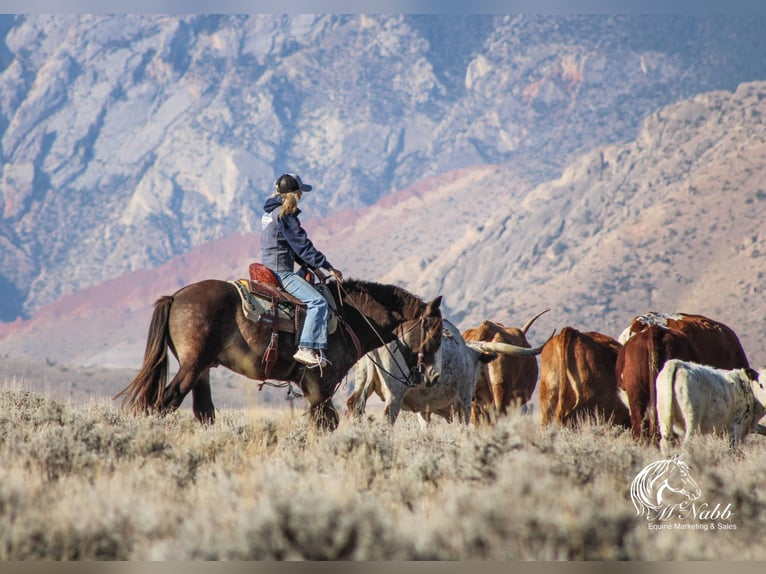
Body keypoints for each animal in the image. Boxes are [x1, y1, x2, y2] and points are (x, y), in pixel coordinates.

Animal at [117, 276, 448, 430]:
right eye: (433, 333)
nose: (433, 377)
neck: (348, 317)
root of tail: (175, 297)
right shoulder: (320, 385)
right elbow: (324, 422)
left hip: (202, 370)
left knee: (204, 411)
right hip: (191, 366)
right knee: (166, 401)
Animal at [348, 322, 544, 430]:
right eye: (481, 369)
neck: (469, 356)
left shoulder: (423, 408)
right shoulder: (464, 400)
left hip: (363, 381)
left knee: (353, 405)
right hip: (394, 393)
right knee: (388, 417)